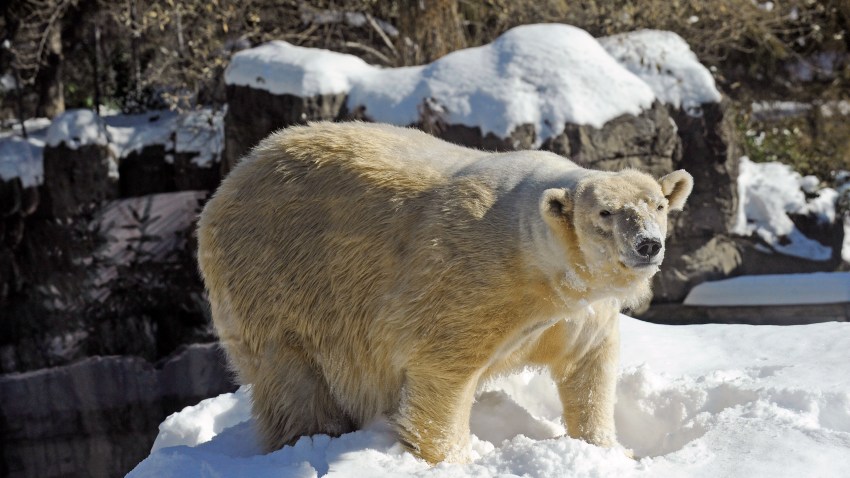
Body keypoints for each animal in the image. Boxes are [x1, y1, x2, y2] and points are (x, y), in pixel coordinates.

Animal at [196, 121, 693, 464]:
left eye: (658, 205)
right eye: (605, 213)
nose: (648, 244)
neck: (536, 266)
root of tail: (232, 178)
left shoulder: (576, 310)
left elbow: (590, 369)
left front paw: (610, 450)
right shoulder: (470, 282)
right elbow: (443, 375)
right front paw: (449, 459)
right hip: (278, 278)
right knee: (292, 379)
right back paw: (310, 437)